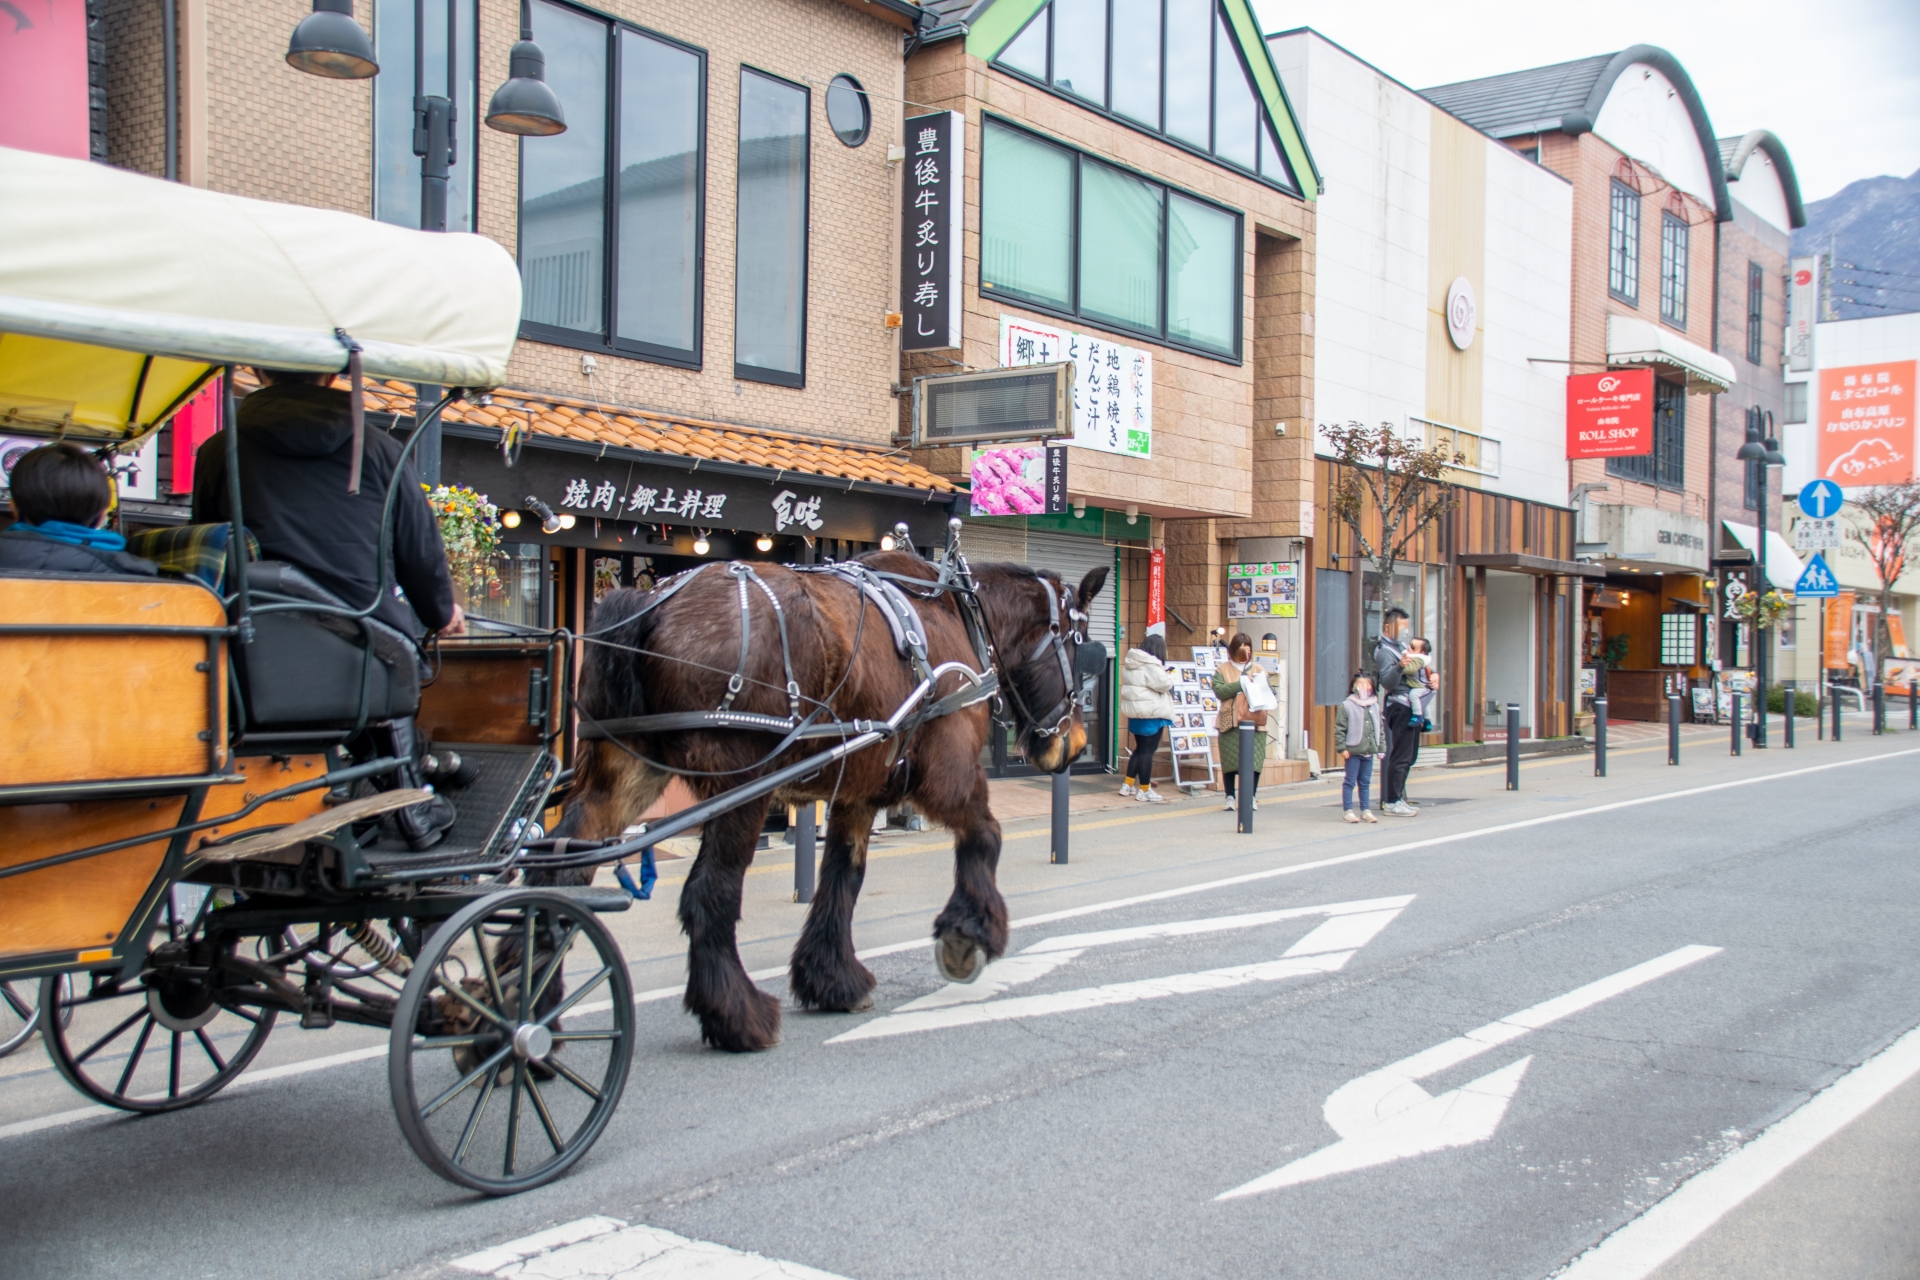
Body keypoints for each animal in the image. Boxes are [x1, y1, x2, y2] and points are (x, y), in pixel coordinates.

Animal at [549, 545, 1105, 1059]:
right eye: (1080, 648)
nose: (1076, 745)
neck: (957, 612)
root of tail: (651, 601)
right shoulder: (949, 774)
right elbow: (986, 835)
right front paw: (970, 931)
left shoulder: (859, 792)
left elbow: (843, 876)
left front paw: (831, 978)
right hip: (739, 789)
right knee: (710, 894)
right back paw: (737, 1016)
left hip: (623, 771)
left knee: (564, 872)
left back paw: (541, 1011)